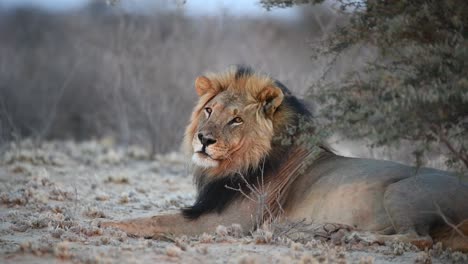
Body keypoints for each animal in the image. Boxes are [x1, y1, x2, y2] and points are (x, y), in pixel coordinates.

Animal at [102, 66, 468, 252]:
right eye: (209, 110)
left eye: (236, 119)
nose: (203, 139)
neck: (238, 164)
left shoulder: (226, 223)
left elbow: (155, 219)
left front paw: (106, 224)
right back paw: (329, 231)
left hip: (401, 192)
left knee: (419, 238)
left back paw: (353, 237)